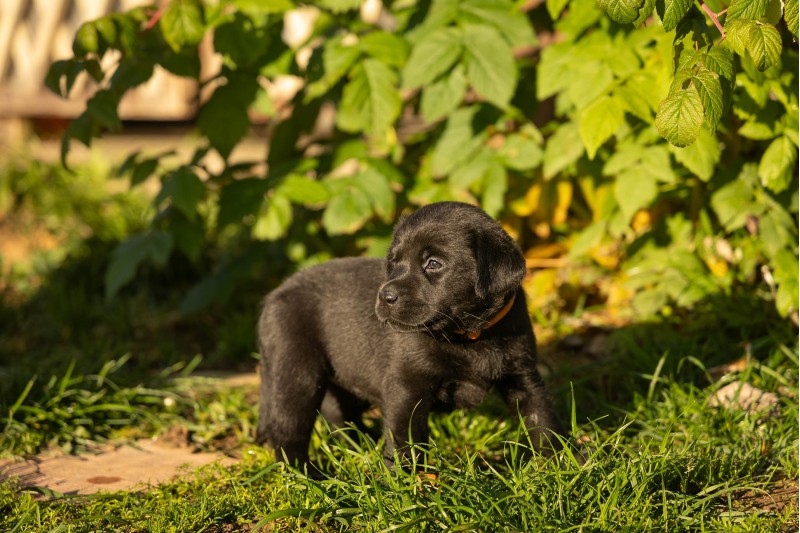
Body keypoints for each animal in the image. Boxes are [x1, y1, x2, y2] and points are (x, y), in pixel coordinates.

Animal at [256, 200, 564, 466]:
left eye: (434, 263)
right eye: (394, 263)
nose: (385, 296)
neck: (469, 335)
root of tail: (273, 296)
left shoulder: (522, 375)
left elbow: (541, 419)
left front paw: (557, 464)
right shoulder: (406, 386)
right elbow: (405, 438)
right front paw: (406, 480)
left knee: (337, 412)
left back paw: (360, 443)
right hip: (296, 372)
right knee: (286, 432)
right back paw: (308, 475)